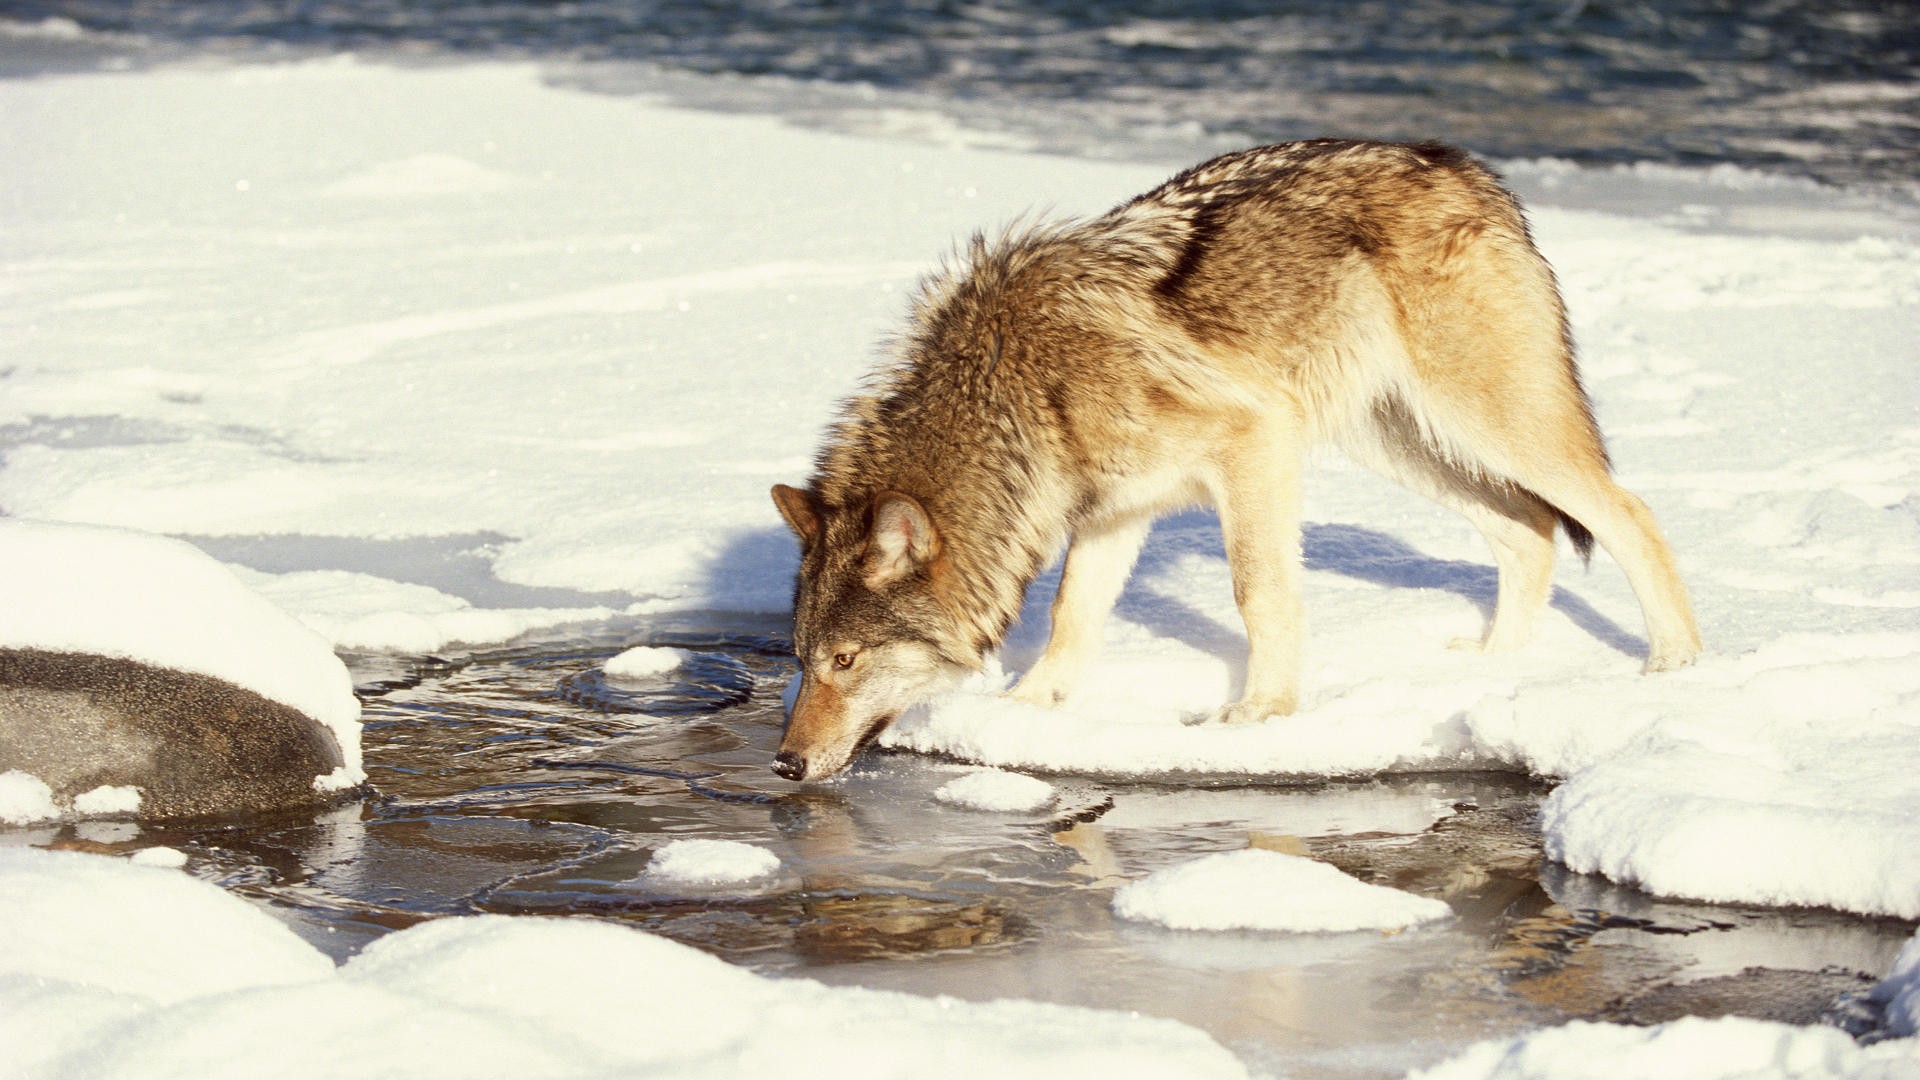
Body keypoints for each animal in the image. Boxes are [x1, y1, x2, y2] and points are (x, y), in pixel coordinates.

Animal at [769, 139, 1700, 782]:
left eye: (846, 662)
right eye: (802, 660)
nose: (783, 763)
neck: (1016, 390)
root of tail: (1472, 171)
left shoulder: (1253, 445)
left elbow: (1259, 594)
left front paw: (1262, 715)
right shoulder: (1113, 509)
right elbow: (1072, 617)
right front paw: (1026, 713)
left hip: (1486, 424)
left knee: (1627, 512)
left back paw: (1674, 666)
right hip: (1403, 442)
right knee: (1529, 530)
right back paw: (1491, 665)